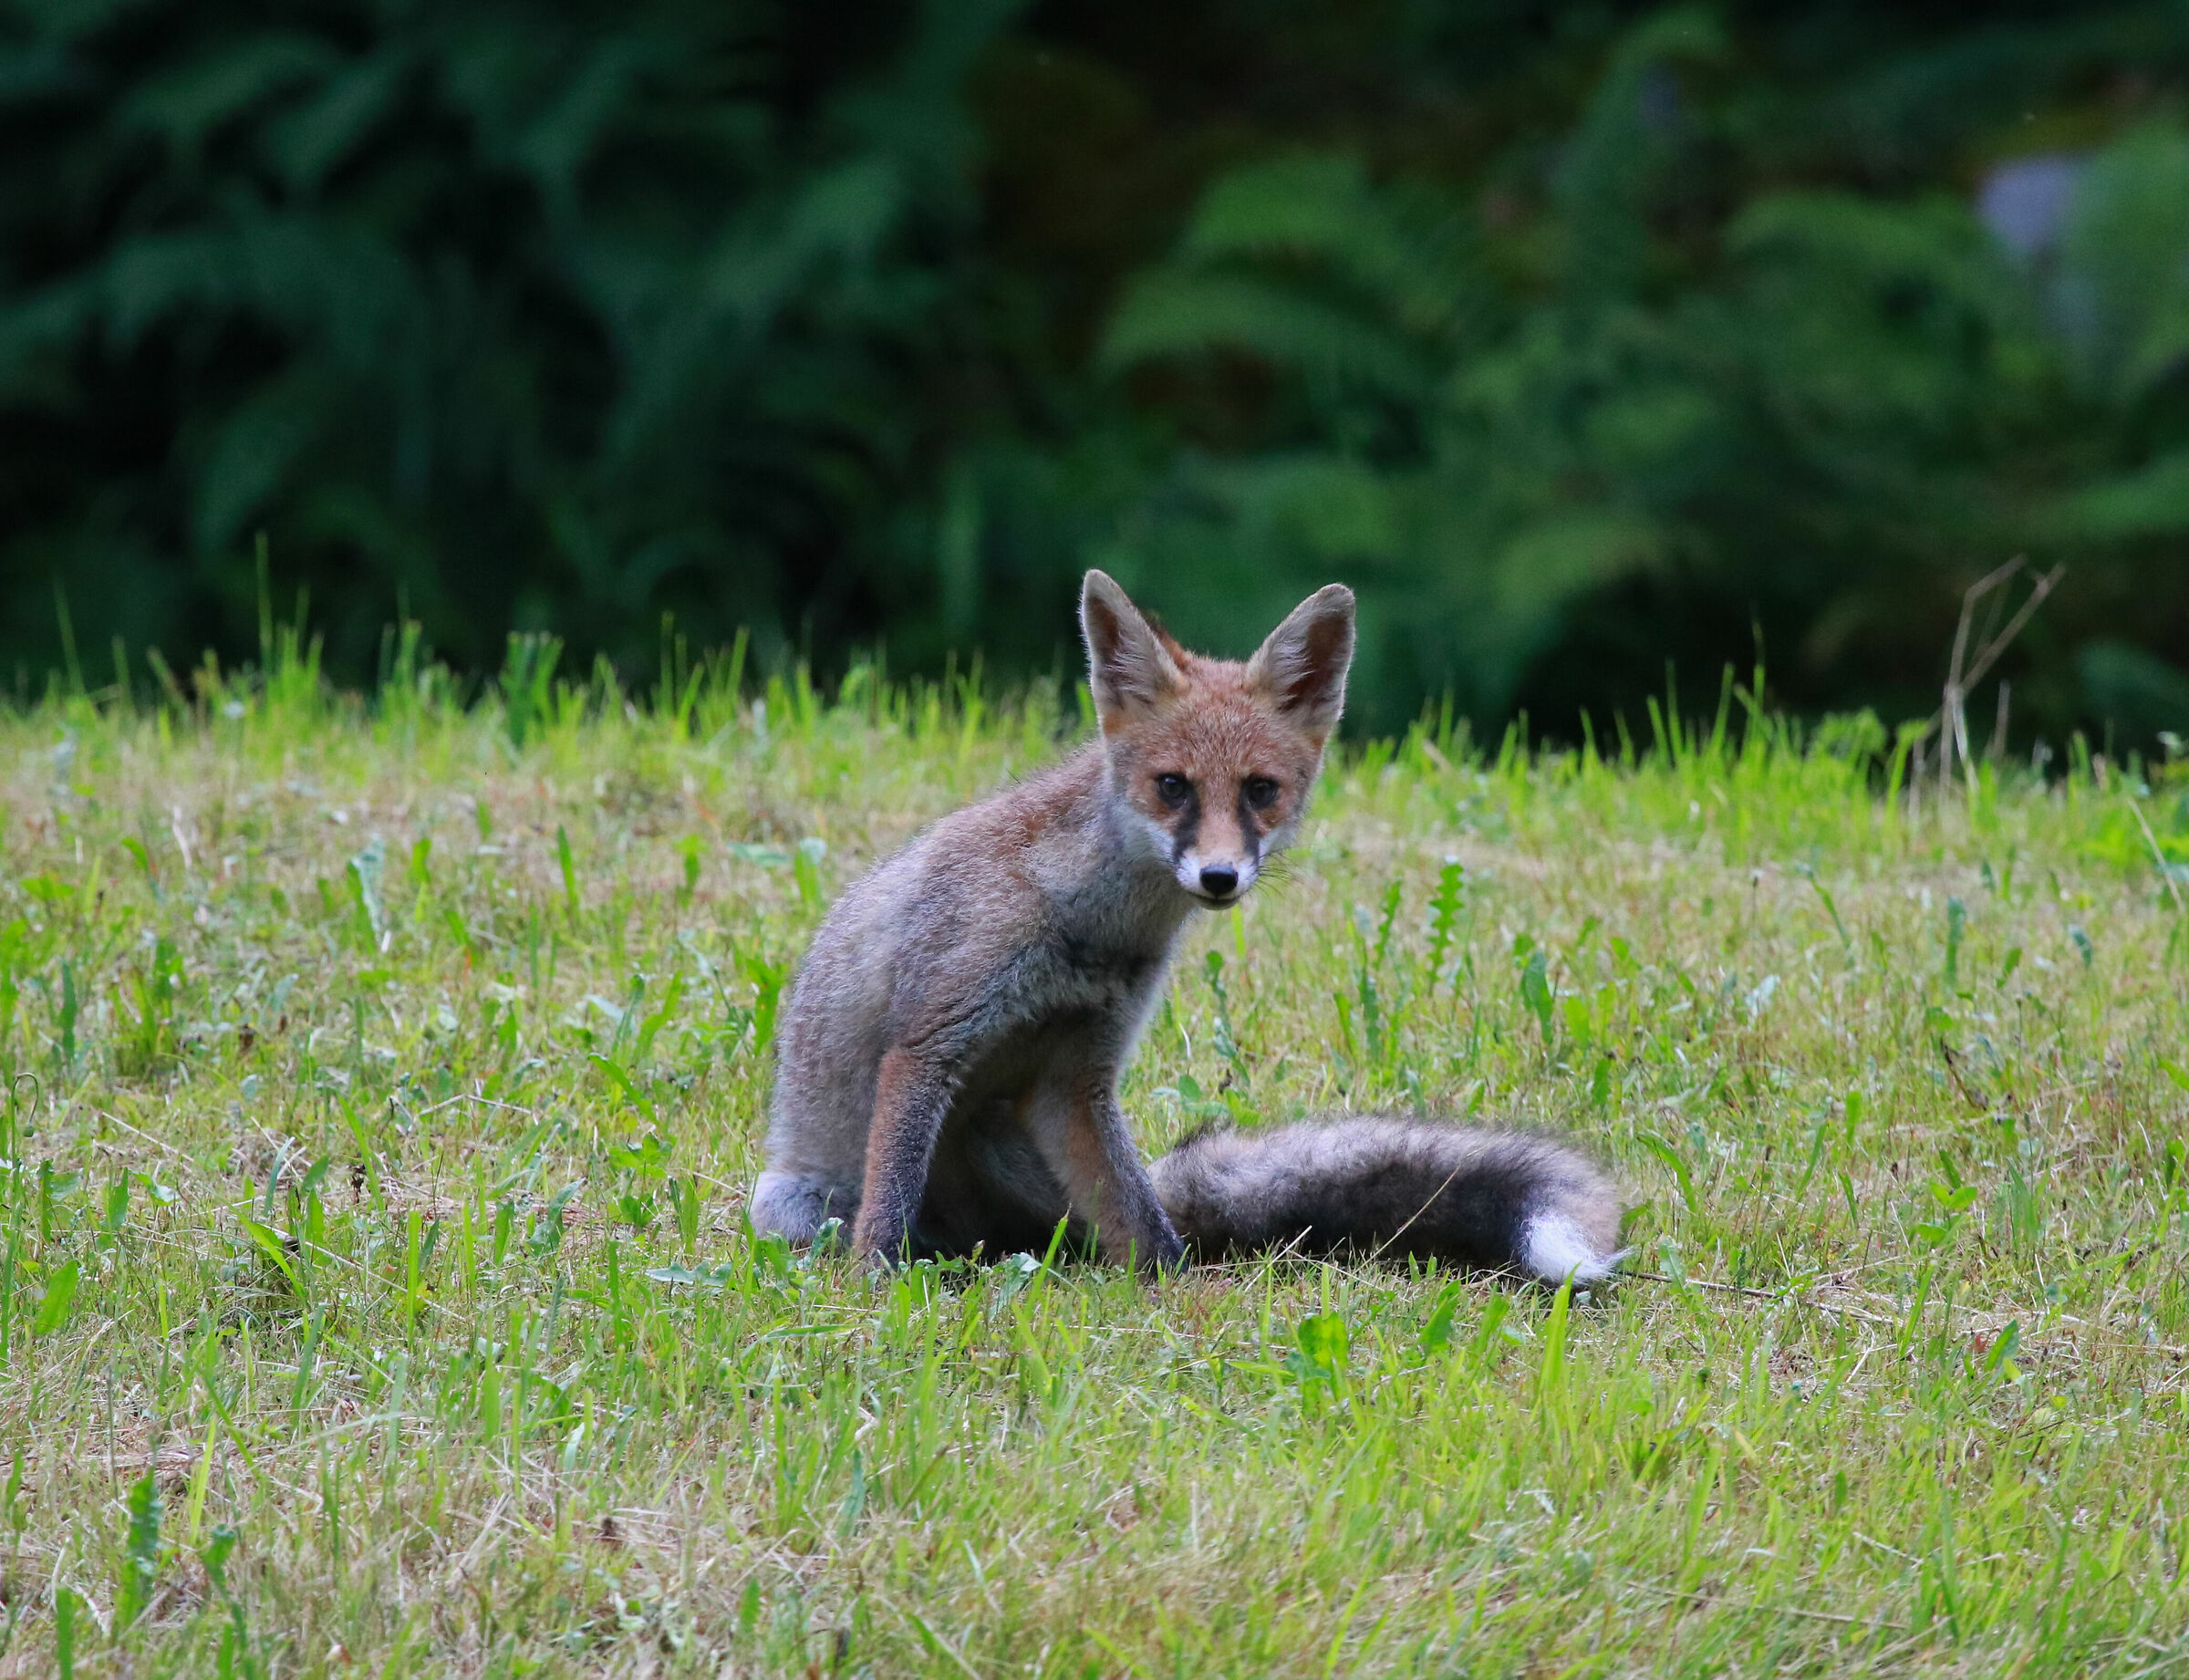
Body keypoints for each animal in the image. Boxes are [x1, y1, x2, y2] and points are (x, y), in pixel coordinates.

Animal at [750, 570, 1623, 1283]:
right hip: (799, 1203)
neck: (1084, 927)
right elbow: (887, 1201)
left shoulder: (1075, 1078)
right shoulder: (929, 1042)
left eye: (1260, 791)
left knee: (1124, 1218)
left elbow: (1144, 1227)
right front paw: (877, 1286)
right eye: (1173, 787)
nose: (1219, 878)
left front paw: (1177, 1296)